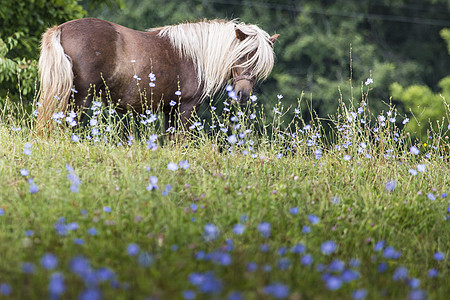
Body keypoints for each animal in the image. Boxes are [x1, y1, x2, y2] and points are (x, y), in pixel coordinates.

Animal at [37, 18, 278, 135]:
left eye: (259, 63)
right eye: (243, 55)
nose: (243, 94)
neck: (195, 55)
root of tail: (60, 29)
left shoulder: (170, 110)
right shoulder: (186, 108)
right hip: (80, 98)